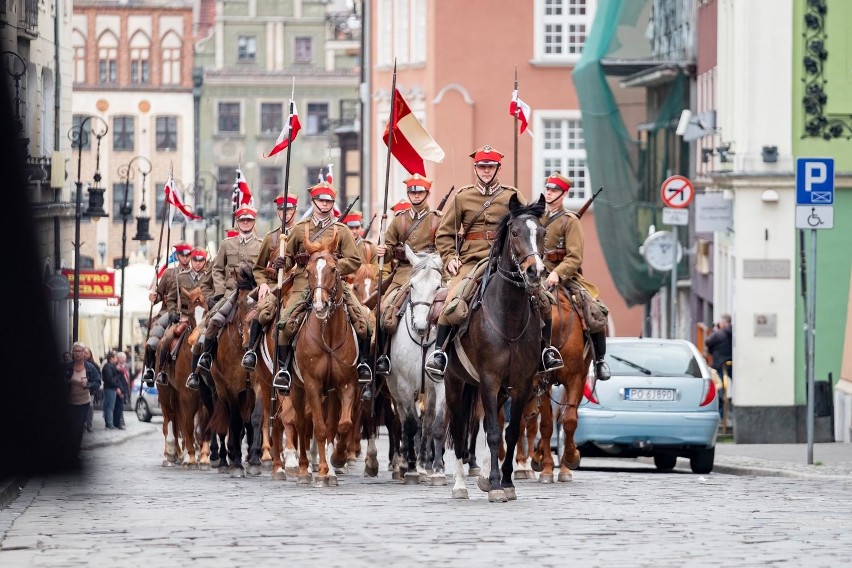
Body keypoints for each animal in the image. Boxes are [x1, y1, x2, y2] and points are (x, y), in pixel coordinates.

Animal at [292, 231, 358, 488]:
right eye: (309, 270)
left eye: (333, 268)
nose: (320, 305)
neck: (328, 334)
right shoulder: (312, 384)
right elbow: (318, 429)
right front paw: (321, 471)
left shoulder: (346, 383)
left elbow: (343, 425)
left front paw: (337, 460)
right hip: (297, 389)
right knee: (302, 424)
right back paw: (303, 469)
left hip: (329, 393)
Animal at [382, 243, 446, 484]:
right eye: (412, 285)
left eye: (438, 287)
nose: (420, 325)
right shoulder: (404, 384)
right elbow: (410, 424)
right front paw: (410, 468)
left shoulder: (440, 382)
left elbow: (436, 422)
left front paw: (436, 469)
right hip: (394, 389)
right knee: (403, 418)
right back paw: (403, 464)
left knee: (426, 422)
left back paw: (423, 464)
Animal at [440, 194, 544, 502]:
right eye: (515, 232)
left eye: (542, 232)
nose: (535, 271)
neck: (508, 315)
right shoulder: (489, 379)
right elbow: (495, 433)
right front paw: (497, 486)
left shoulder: (520, 383)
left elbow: (508, 433)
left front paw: (505, 481)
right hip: (454, 382)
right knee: (459, 427)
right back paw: (460, 485)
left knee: (485, 426)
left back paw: (485, 476)